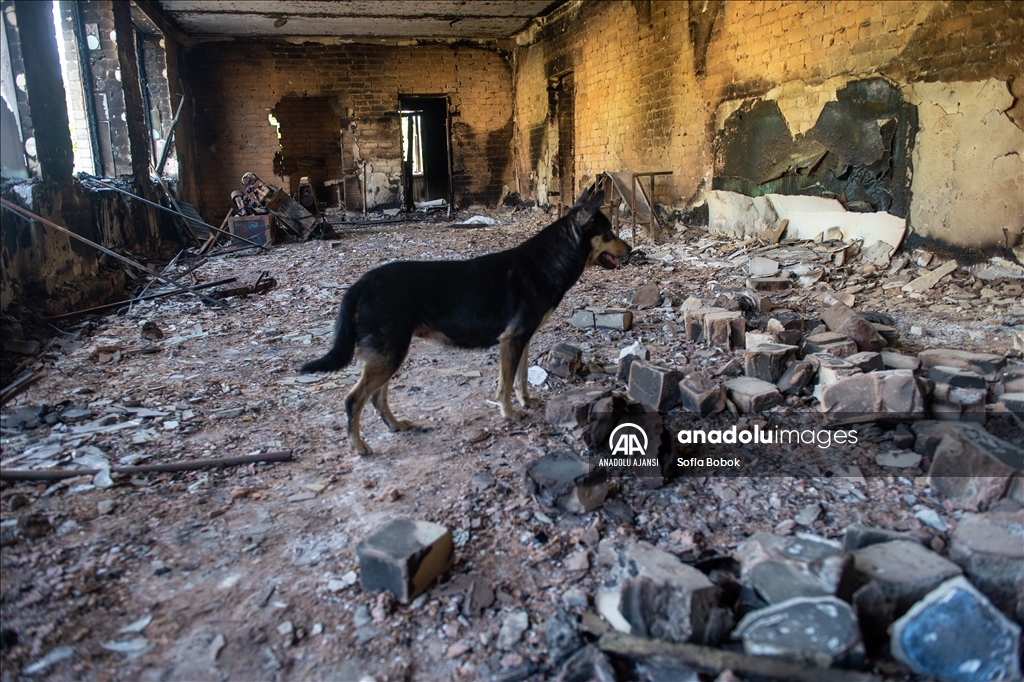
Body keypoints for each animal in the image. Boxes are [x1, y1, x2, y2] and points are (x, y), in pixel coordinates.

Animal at [300, 185, 631, 455]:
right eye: (609, 233)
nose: (631, 249)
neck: (551, 259)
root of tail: (360, 285)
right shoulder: (512, 340)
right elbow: (505, 384)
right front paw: (510, 414)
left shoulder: (522, 339)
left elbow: (521, 377)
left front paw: (526, 401)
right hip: (389, 354)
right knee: (354, 400)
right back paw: (359, 445)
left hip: (388, 355)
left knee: (377, 398)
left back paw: (394, 426)